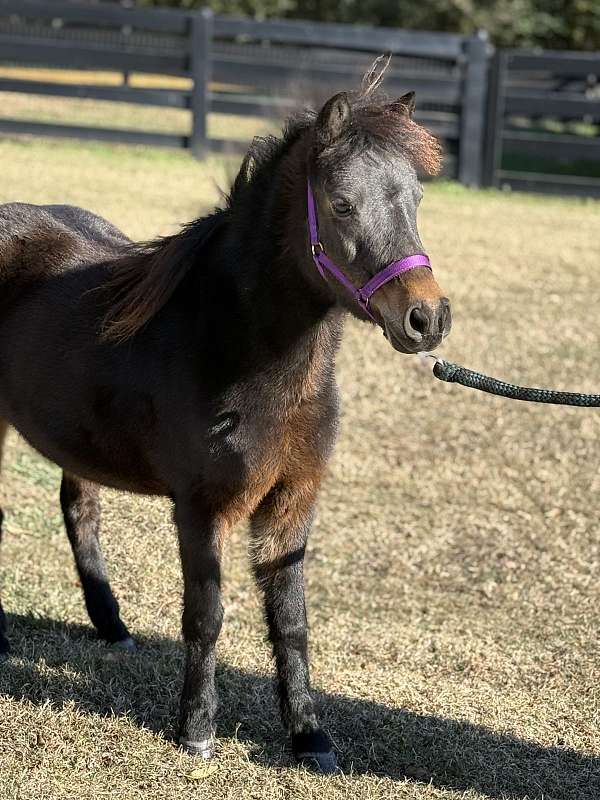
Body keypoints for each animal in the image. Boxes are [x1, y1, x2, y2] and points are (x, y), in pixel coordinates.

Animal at [0, 64, 450, 776]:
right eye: (343, 204)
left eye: (416, 199)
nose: (426, 318)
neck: (242, 352)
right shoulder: (202, 506)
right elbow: (206, 615)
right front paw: (196, 730)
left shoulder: (292, 504)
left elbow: (291, 621)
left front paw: (310, 738)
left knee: (79, 509)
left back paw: (112, 627)